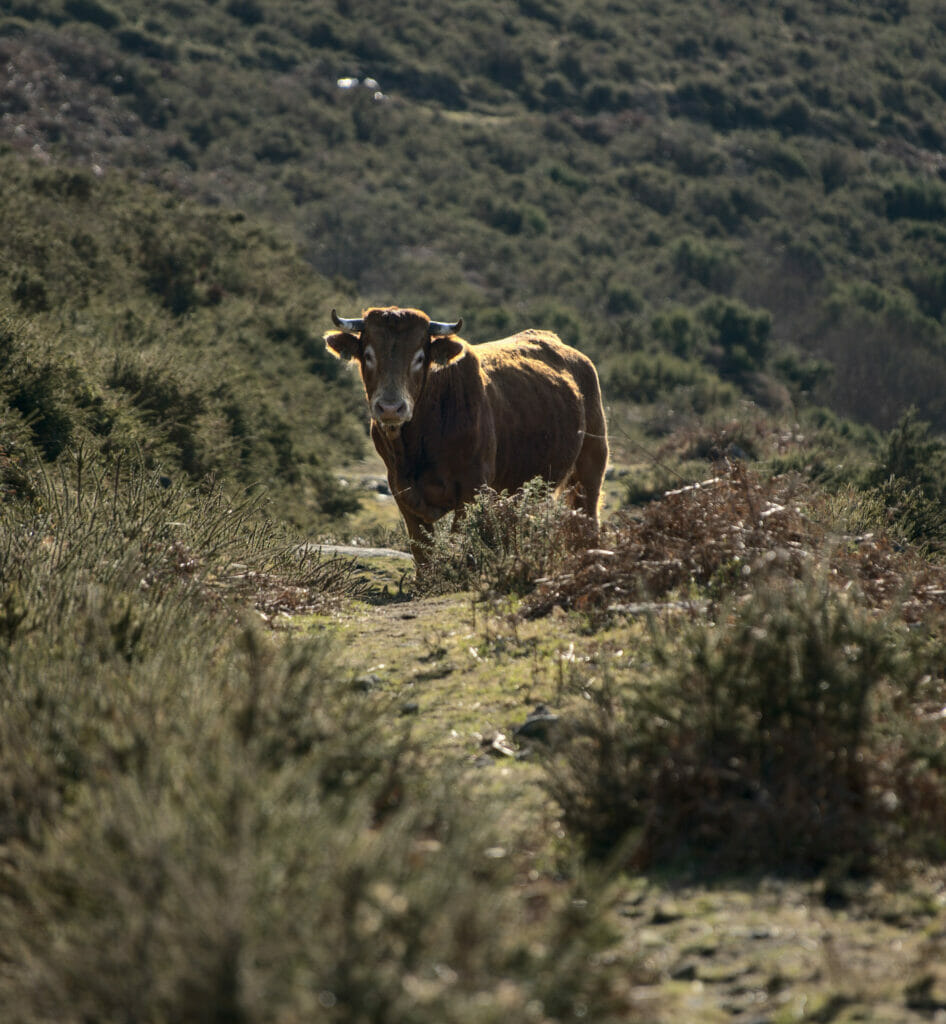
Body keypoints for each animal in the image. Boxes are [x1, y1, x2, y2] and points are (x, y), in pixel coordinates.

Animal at [323, 307, 606, 573]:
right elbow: (423, 555)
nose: (391, 408)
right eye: (368, 355)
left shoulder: (472, 490)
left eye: (420, 357)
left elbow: (461, 548)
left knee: (587, 522)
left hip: (590, 467)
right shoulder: (401, 491)